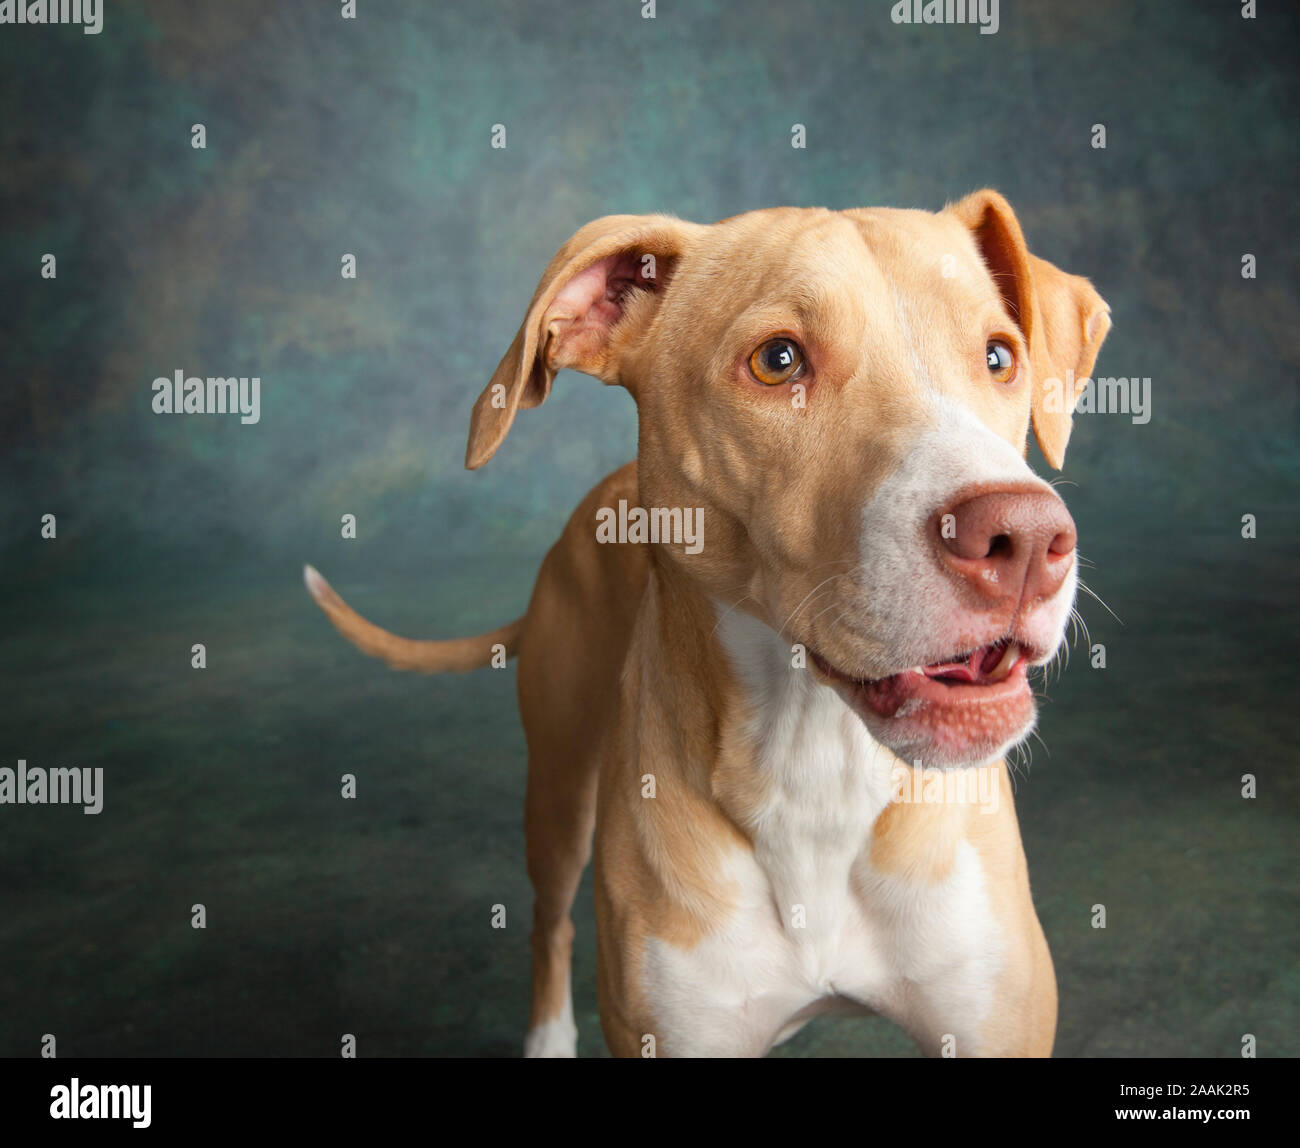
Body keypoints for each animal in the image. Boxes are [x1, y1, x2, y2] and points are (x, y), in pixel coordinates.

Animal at [301, 191, 1107, 1060]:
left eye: (999, 356)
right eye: (778, 361)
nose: (1024, 538)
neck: (814, 767)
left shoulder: (994, 1022)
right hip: (557, 791)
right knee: (548, 923)